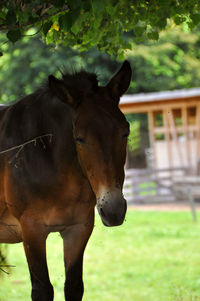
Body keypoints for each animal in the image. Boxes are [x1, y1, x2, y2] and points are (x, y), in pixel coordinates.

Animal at [0, 59, 131, 298]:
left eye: (125, 132)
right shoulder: (32, 231)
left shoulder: (78, 230)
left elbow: (73, 286)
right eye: (79, 138)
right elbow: (42, 289)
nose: (113, 210)